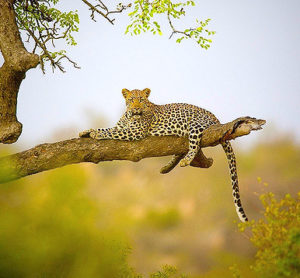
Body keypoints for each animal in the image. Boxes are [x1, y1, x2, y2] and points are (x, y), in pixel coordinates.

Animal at [79, 88, 248, 223]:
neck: (129, 116)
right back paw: (167, 167)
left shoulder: (135, 131)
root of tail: (216, 118)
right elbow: (107, 128)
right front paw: (85, 132)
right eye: (131, 100)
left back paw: (185, 160)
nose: (136, 109)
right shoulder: (121, 126)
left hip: (195, 125)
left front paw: (95, 134)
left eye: (141, 100)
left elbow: (109, 132)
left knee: (194, 145)